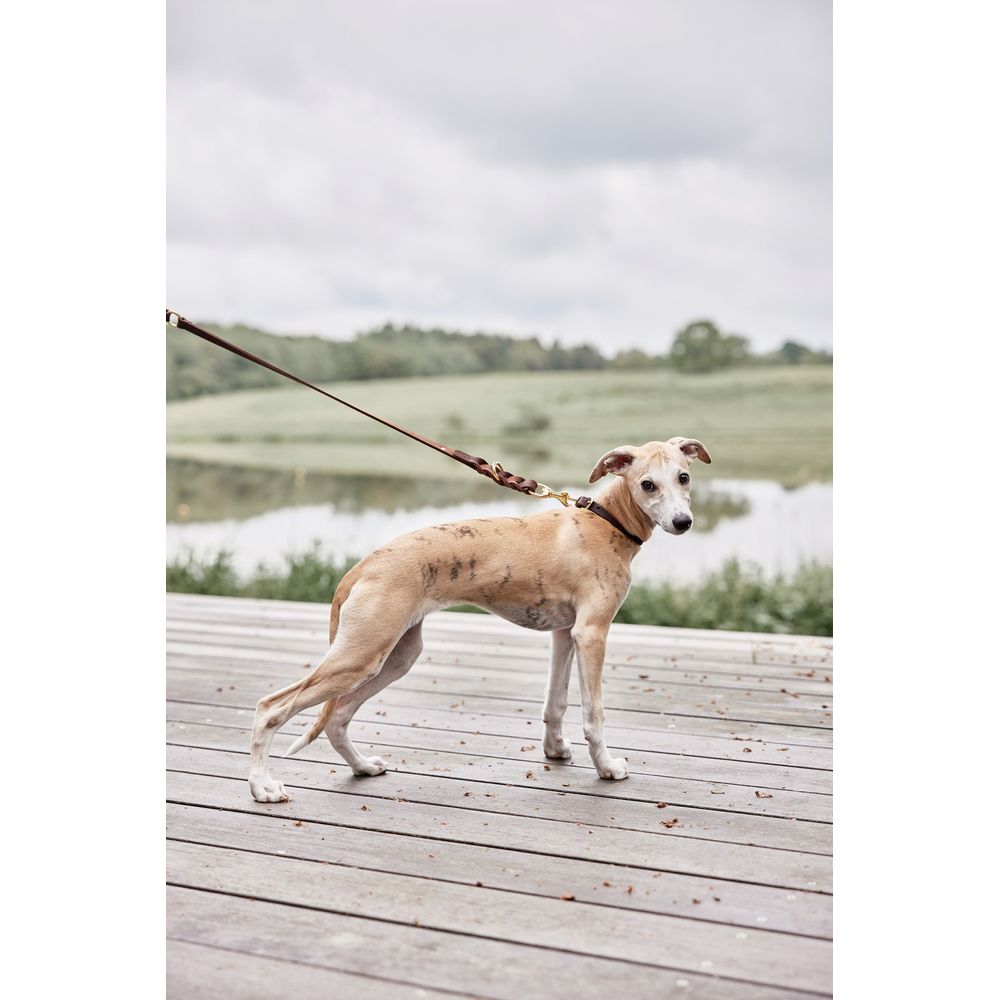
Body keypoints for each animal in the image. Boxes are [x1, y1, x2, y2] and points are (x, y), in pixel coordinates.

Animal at [249, 438, 712, 804]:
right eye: (648, 484)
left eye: (684, 477)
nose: (683, 523)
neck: (606, 521)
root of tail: (361, 567)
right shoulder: (592, 633)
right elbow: (593, 714)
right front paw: (607, 768)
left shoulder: (566, 634)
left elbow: (555, 703)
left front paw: (555, 750)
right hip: (359, 657)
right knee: (271, 707)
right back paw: (263, 787)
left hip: (395, 657)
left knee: (338, 716)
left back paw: (363, 767)